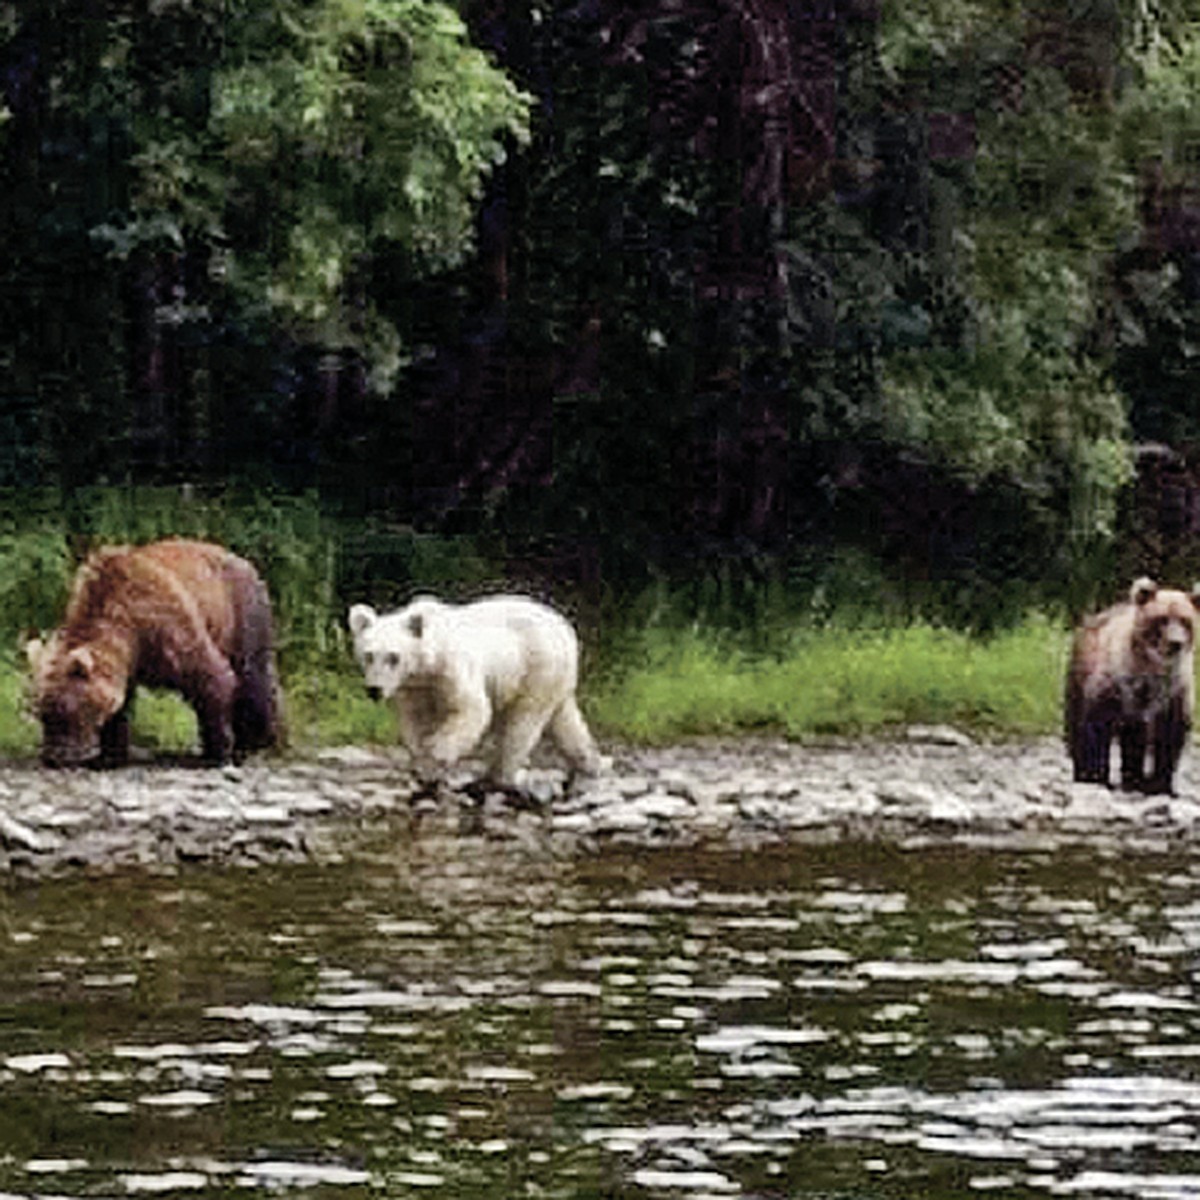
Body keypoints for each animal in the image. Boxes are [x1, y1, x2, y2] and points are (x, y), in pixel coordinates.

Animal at [29, 540, 282, 763]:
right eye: (41, 712)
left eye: (67, 711)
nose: (55, 757)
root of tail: (243, 560)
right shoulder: (126, 661)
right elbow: (120, 704)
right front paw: (109, 755)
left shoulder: (165, 626)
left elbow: (210, 677)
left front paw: (218, 752)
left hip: (240, 612)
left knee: (253, 675)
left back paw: (255, 741)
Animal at [350, 592, 609, 787]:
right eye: (369, 655)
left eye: (393, 656)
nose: (374, 689)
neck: (427, 667)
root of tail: (565, 629)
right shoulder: (412, 688)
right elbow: (414, 720)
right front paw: (422, 762)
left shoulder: (451, 670)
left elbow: (471, 709)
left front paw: (437, 753)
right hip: (552, 678)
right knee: (564, 720)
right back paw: (592, 763)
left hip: (537, 668)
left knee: (522, 724)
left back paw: (500, 775)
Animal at [1070, 576, 1200, 792]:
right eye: (1162, 618)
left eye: (1185, 620)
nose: (1175, 643)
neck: (1152, 668)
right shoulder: (1115, 681)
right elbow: (1096, 723)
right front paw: (1094, 776)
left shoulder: (1175, 689)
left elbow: (1169, 733)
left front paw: (1160, 784)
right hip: (1080, 670)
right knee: (1076, 720)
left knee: (1134, 736)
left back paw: (1134, 779)